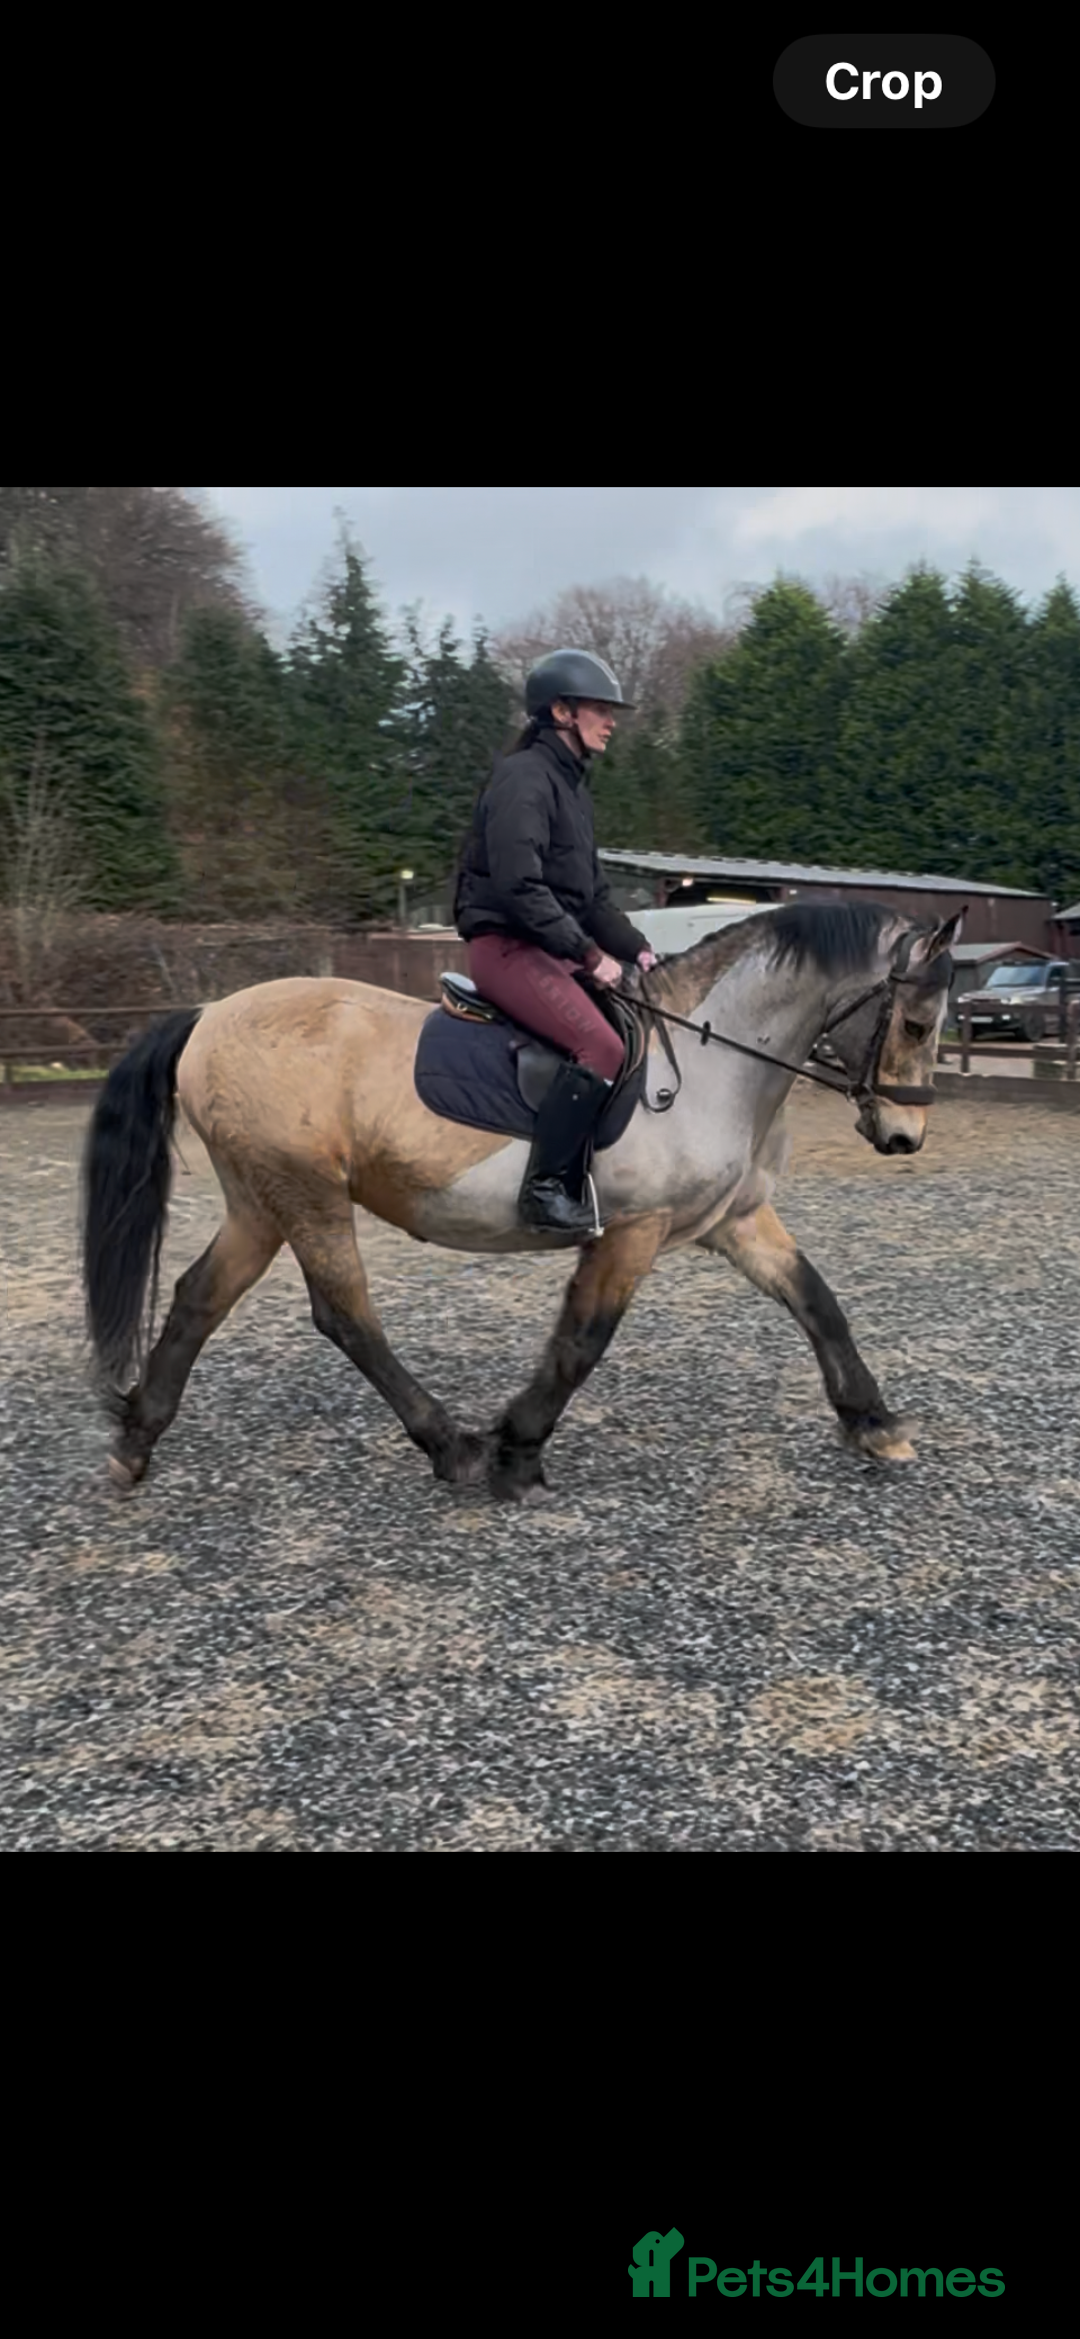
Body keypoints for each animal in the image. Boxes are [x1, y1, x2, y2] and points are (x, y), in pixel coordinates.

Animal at [80, 899, 961, 1507]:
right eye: (918, 1024)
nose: (906, 1135)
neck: (711, 1060)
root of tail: (208, 1014)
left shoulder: (736, 1221)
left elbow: (818, 1301)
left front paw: (874, 1422)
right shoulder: (631, 1230)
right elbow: (582, 1341)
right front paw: (517, 1449)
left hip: (259, 1200)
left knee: (199, 1298)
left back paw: (135, 1439)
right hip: (306, 1193)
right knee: (346, 1314)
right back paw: (452, 1446)